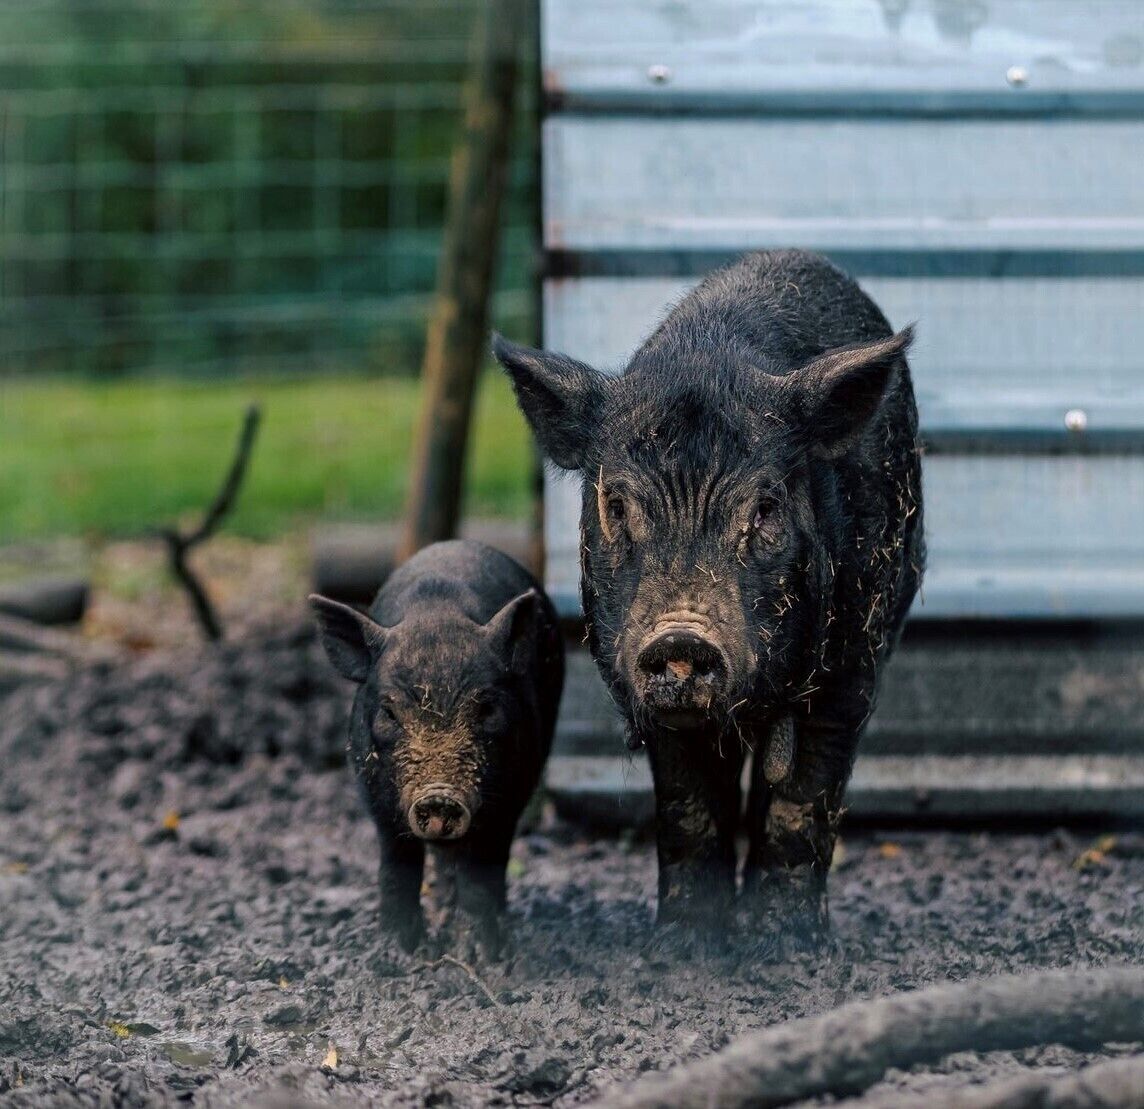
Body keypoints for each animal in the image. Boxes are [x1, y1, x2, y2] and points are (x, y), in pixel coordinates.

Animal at [309, 539, 563, 956]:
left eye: (487, 708)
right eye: (389, 711)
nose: (439, 796)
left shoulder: (511, 795)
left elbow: (483, 872)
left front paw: (483, 955)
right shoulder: (374, 797)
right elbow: (397, 867)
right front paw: (397, 951)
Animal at [494, 250, 922, 948]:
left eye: (766, 508)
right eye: (617, 506)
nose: (681, 637)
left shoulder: (854, 662)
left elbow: (805, 798)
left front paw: (786, 945)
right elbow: (688, 806)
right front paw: (681, 944)